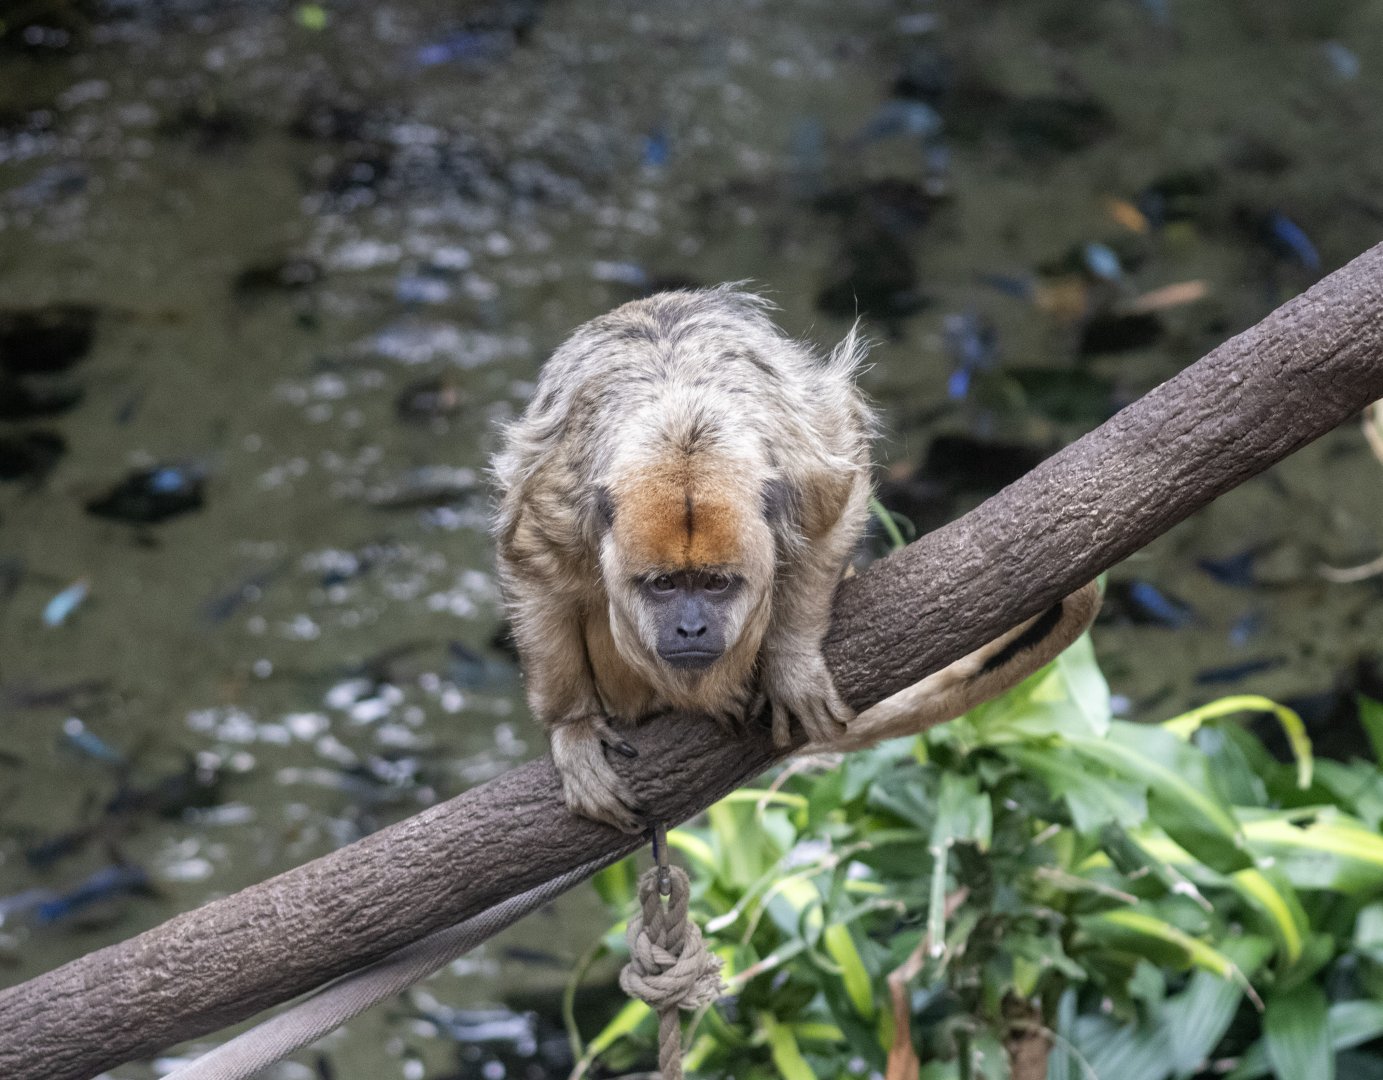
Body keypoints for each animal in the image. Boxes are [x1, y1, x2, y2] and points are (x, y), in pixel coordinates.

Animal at [492, 287, 1099, 831]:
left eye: (716, 584)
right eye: (663, 585)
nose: (690, 628)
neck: (681, 424)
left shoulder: (802, 468)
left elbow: (834, 511)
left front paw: (789, 663)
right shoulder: (562, 499)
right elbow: (533, 572)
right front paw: (571, 727)